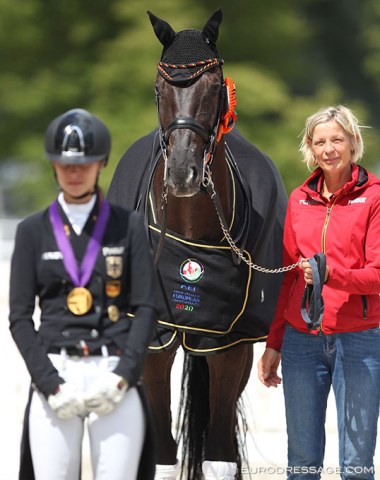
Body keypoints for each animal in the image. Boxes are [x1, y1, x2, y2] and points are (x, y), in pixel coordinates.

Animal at [105, 8, 286, 480]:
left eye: (214, 84)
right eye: (159, 86)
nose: (183, 172)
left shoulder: (227, 343)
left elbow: (219, 455)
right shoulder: (154, 340)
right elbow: (163, 456)